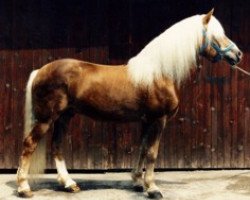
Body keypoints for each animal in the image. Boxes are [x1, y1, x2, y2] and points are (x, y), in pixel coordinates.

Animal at [16, 9, 242, 198]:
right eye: (216, 36)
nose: (238, 54)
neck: (159, 73)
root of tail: (40, 70)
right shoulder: (158, 120)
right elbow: (152, 153)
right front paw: (152, 188)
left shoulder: (146, 120)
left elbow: (141, 148)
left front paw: (138, 182)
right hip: (46, 119)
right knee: (29, 144)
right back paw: (24, 187)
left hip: (64, 116)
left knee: (57, 146)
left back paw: (69, 184)